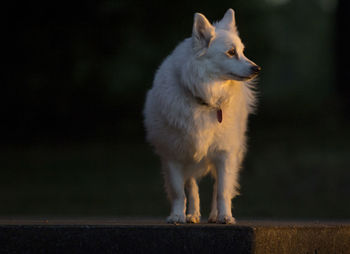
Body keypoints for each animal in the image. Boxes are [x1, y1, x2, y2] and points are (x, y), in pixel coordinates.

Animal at [142, 8, 260, 223]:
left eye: (243, 51)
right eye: (231, 52)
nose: (257, 68)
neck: (205, 98)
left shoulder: (225, 154)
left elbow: (222, 190)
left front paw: (225, 216)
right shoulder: (172, 155)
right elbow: (179, 191)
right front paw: (177, 215)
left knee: (216, 187)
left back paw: (214, 215)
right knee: (191, 186)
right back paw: (193, 214)